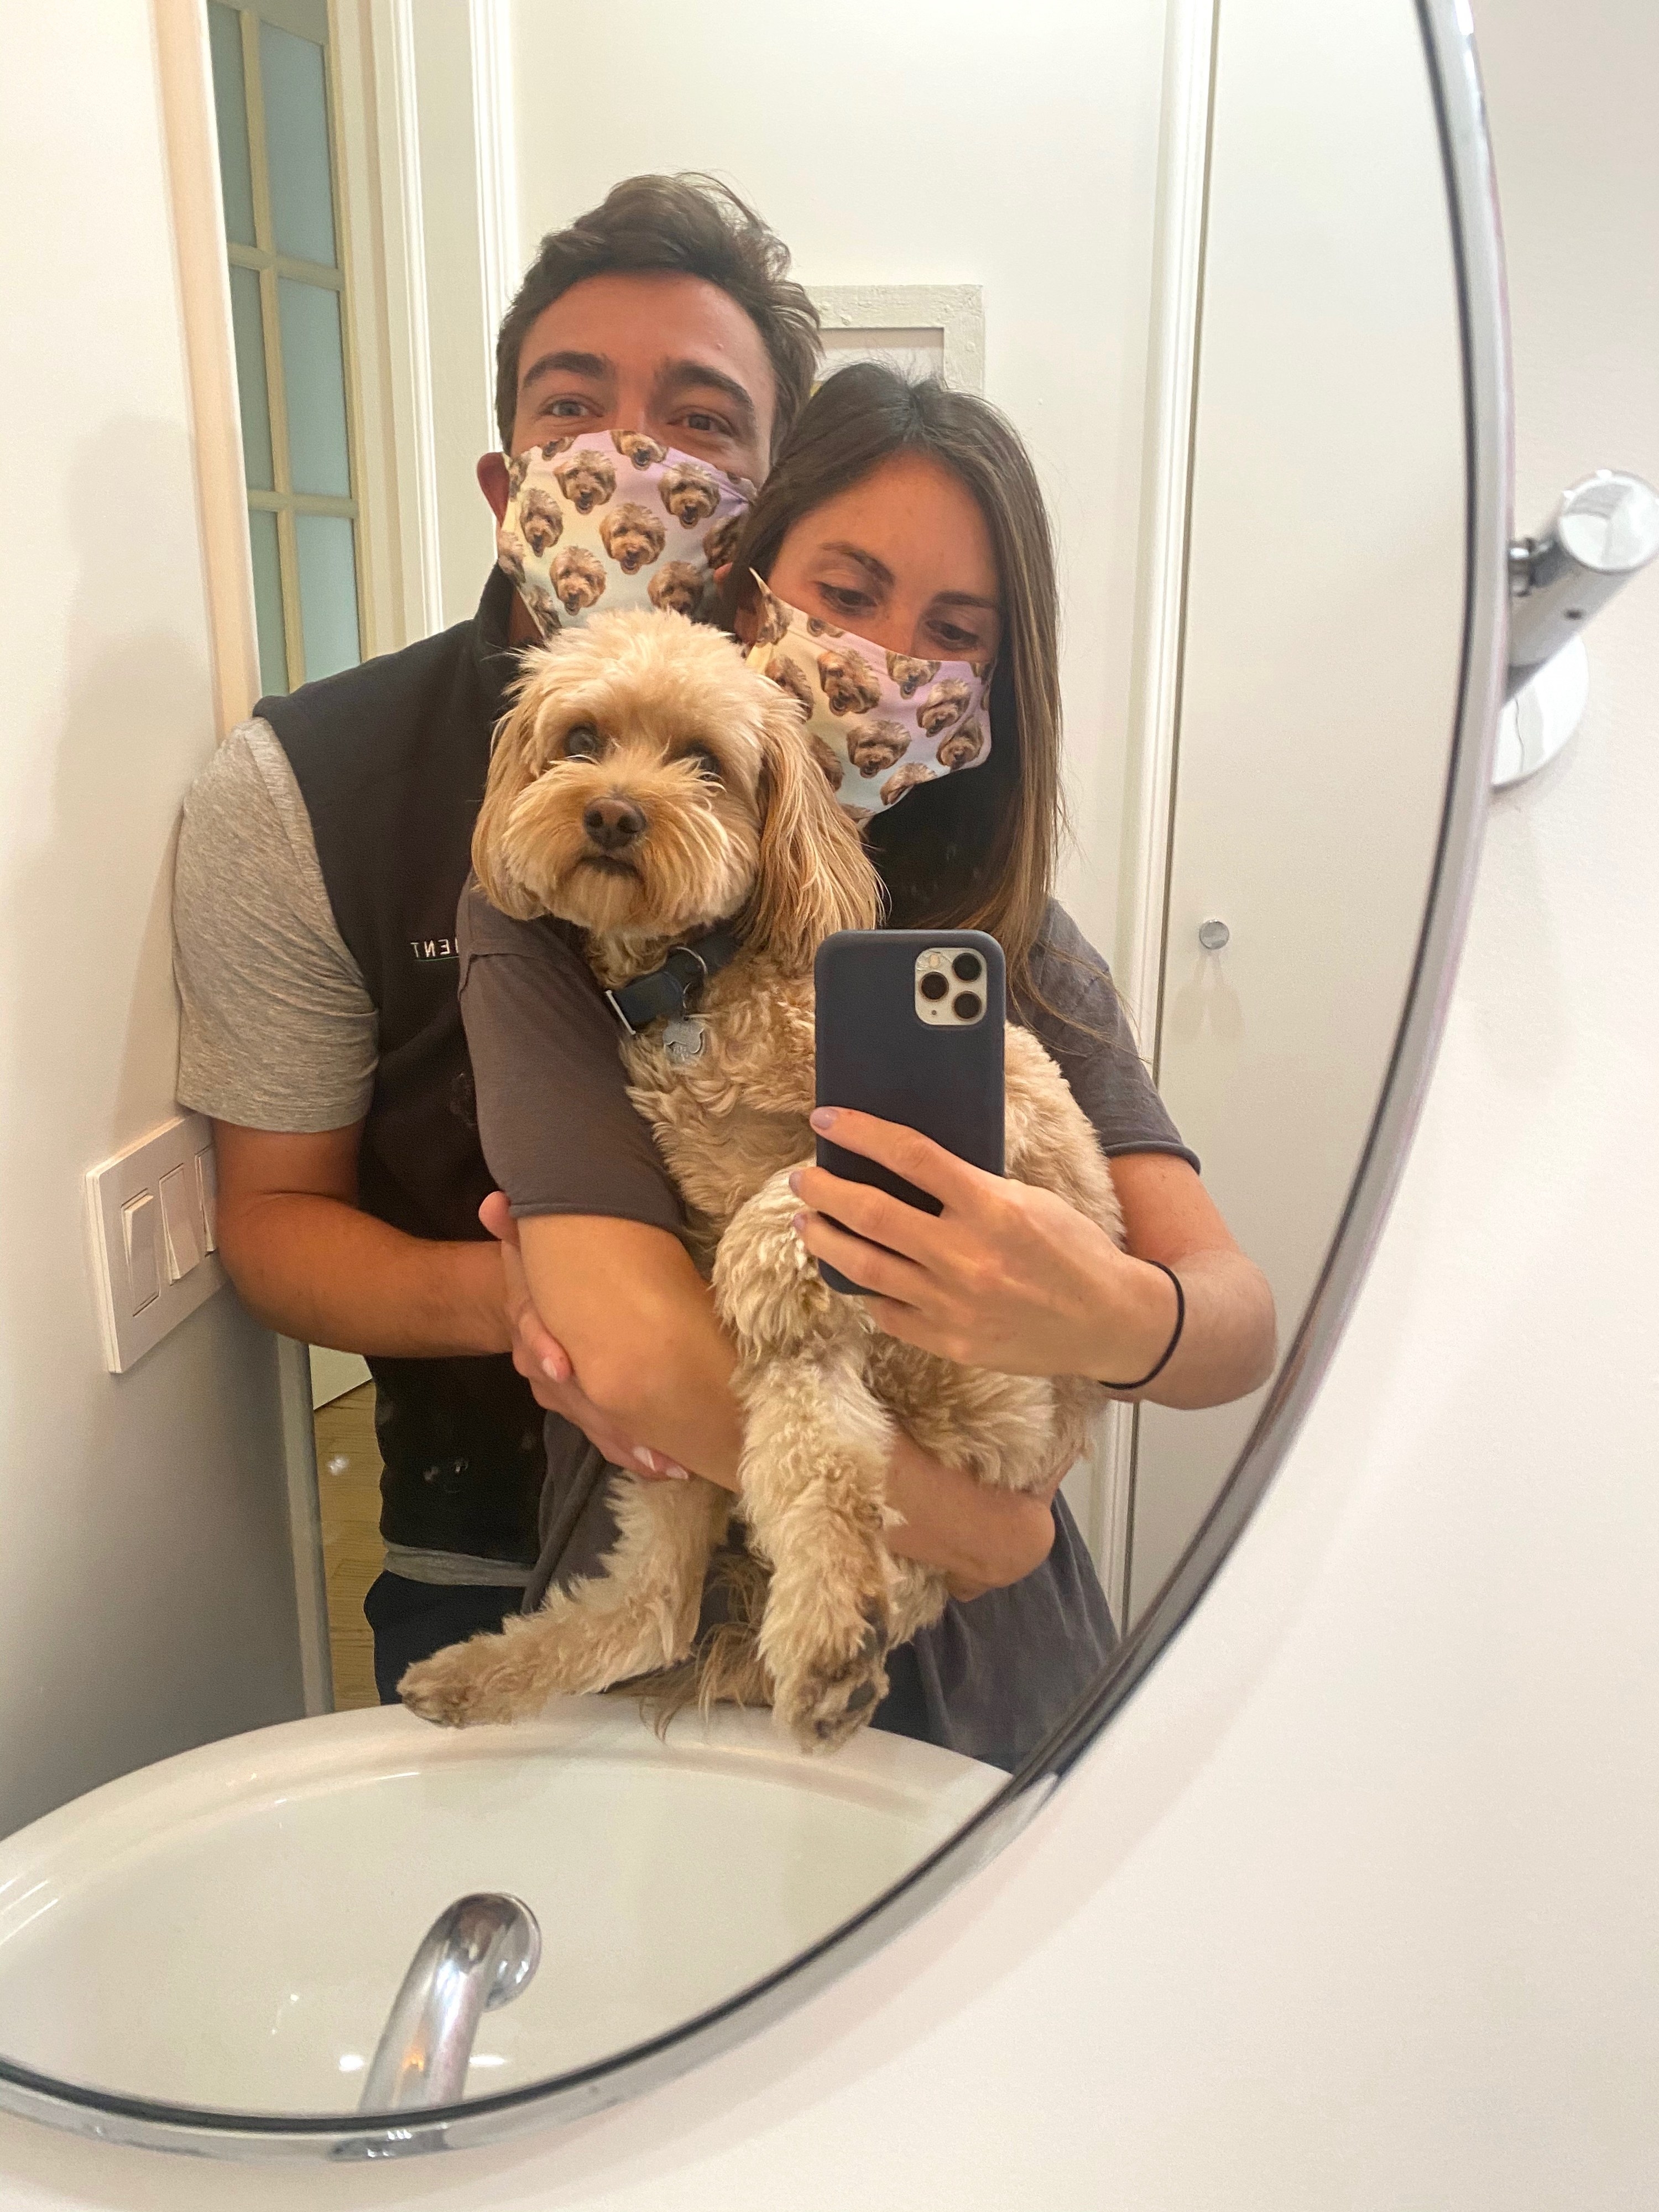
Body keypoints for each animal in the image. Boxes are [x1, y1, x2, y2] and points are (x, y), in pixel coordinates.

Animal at [400, 615, 1124, 1752]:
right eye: (580, 739)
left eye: (705, 762)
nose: (612, 812)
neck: (700, 978)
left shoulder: (1000, 1113)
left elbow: (805, 1171)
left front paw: (765, 1239)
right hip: (757, 1422)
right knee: (690, 1578)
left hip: (932, 1371)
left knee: (840, 1484)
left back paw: (834, 1639)